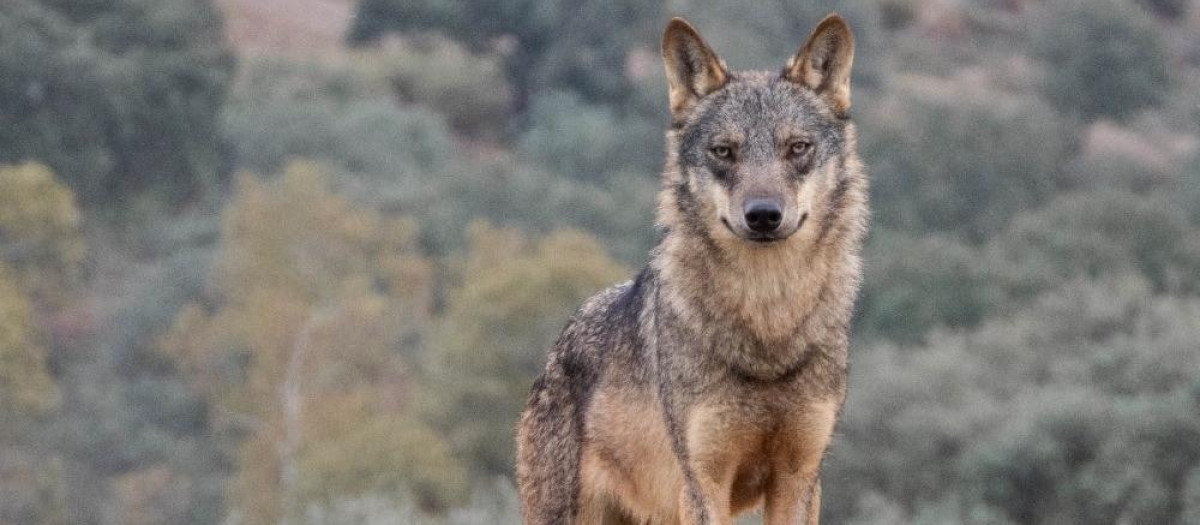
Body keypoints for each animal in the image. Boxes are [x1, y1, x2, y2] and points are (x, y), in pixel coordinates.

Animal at [516, 13, 869, 525]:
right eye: (723, 152)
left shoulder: (800, 479)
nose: (764, 215)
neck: (767, 322)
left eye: (797, 148)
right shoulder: (703, 481)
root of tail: (557, 345)